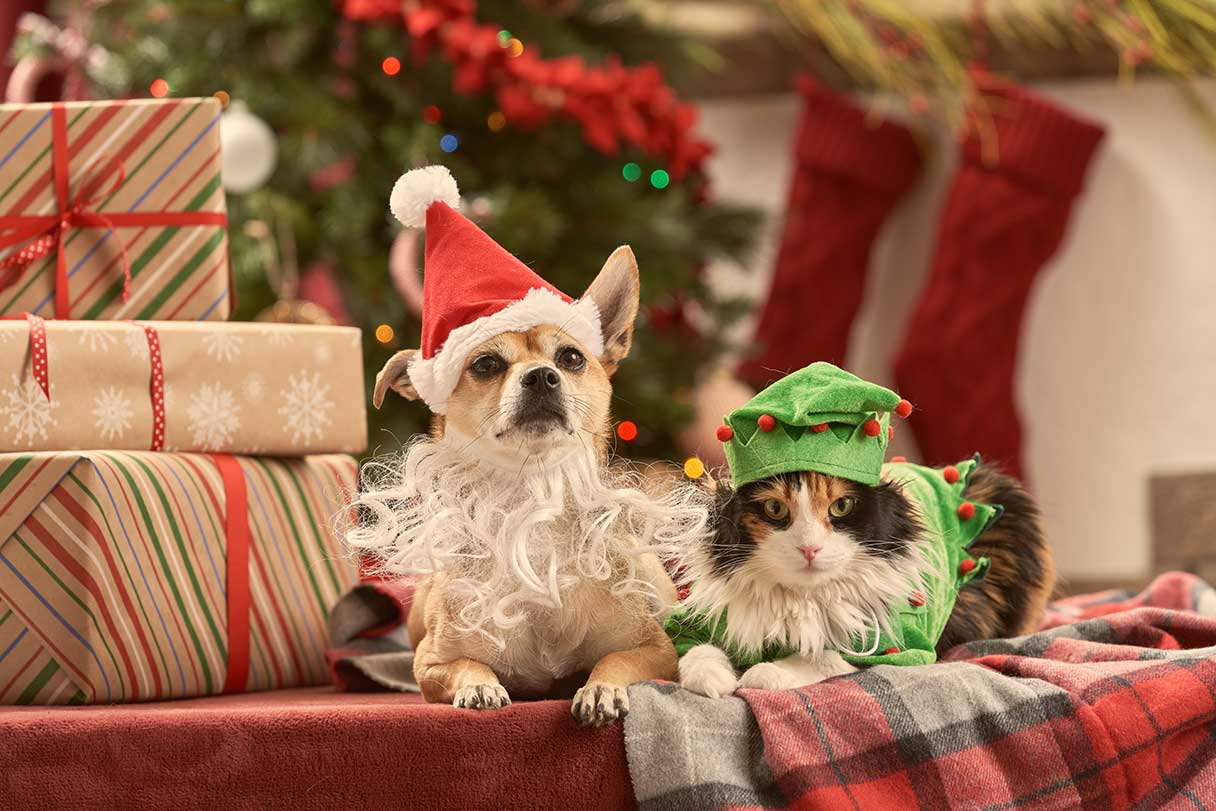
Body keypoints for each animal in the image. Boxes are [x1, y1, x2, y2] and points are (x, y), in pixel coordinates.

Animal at [352, 245, 710, 724]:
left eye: (571, 358)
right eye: (486, 364)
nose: (541, 375)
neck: (531, 501)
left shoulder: (655, 648)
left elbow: (616, 659)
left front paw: (600, 689)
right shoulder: (430, 663)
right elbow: (467, 664)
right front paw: (480, 686)